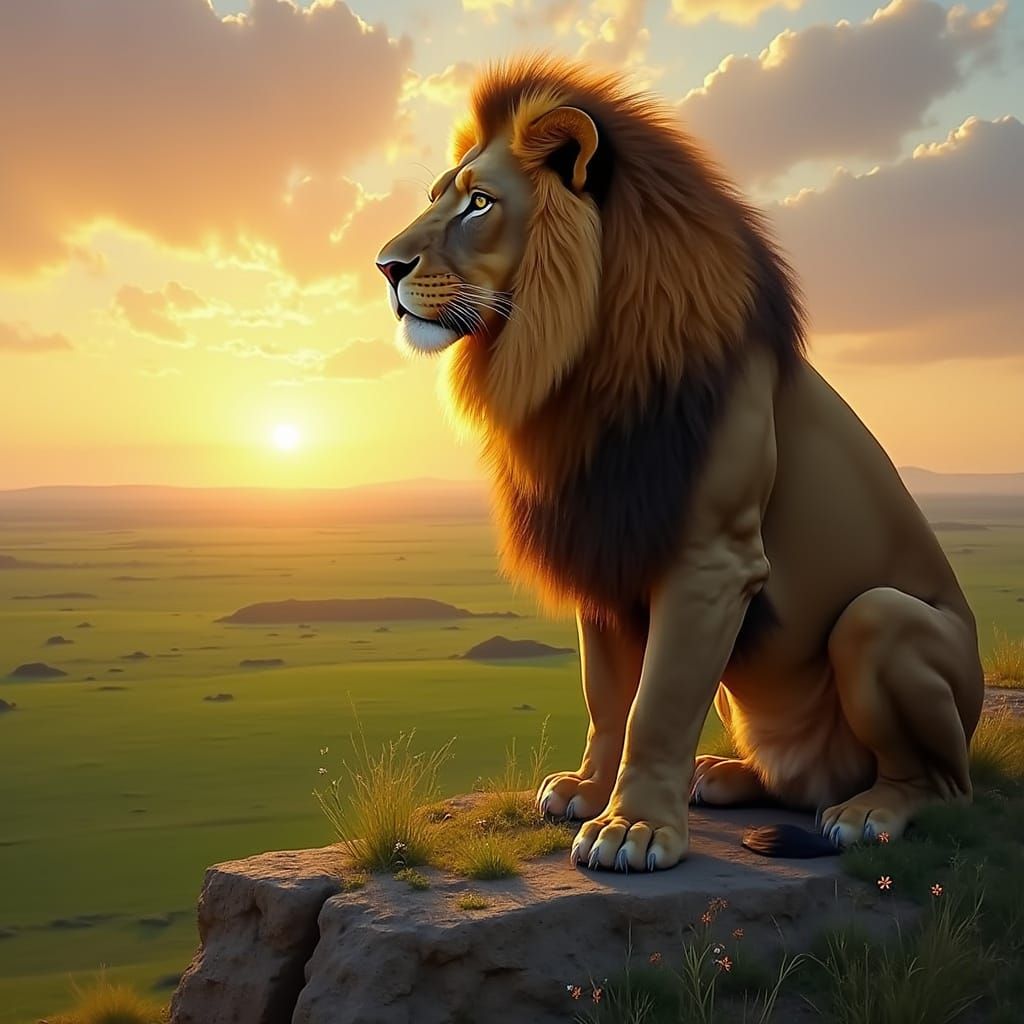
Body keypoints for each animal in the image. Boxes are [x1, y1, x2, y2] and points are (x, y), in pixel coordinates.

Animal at [375, 56, 984, 871]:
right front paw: (587, 790)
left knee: (945, 785)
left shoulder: (711, 560)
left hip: (881, 622)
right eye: (437, 197)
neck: (578, 366)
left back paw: (869, 811)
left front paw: (632, 829)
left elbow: (656, 703)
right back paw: (725, 774)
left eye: (479, 202)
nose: (385, 266)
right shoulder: (602, 535)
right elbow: (607, 692)